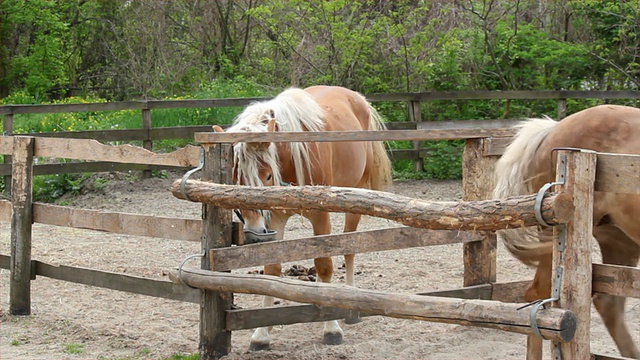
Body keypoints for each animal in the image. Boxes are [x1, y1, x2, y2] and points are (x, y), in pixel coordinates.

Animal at [211, 84, 390, 348]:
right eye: (235, 179)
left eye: (267, 176)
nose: (253, 232)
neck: (290, 160)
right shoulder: (276, 218)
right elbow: (272, 269)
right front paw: (262, 333)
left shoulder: (320, 216)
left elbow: (324, 266)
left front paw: (331, 328)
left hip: (355, 200)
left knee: (349, 247)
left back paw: (350, 310)